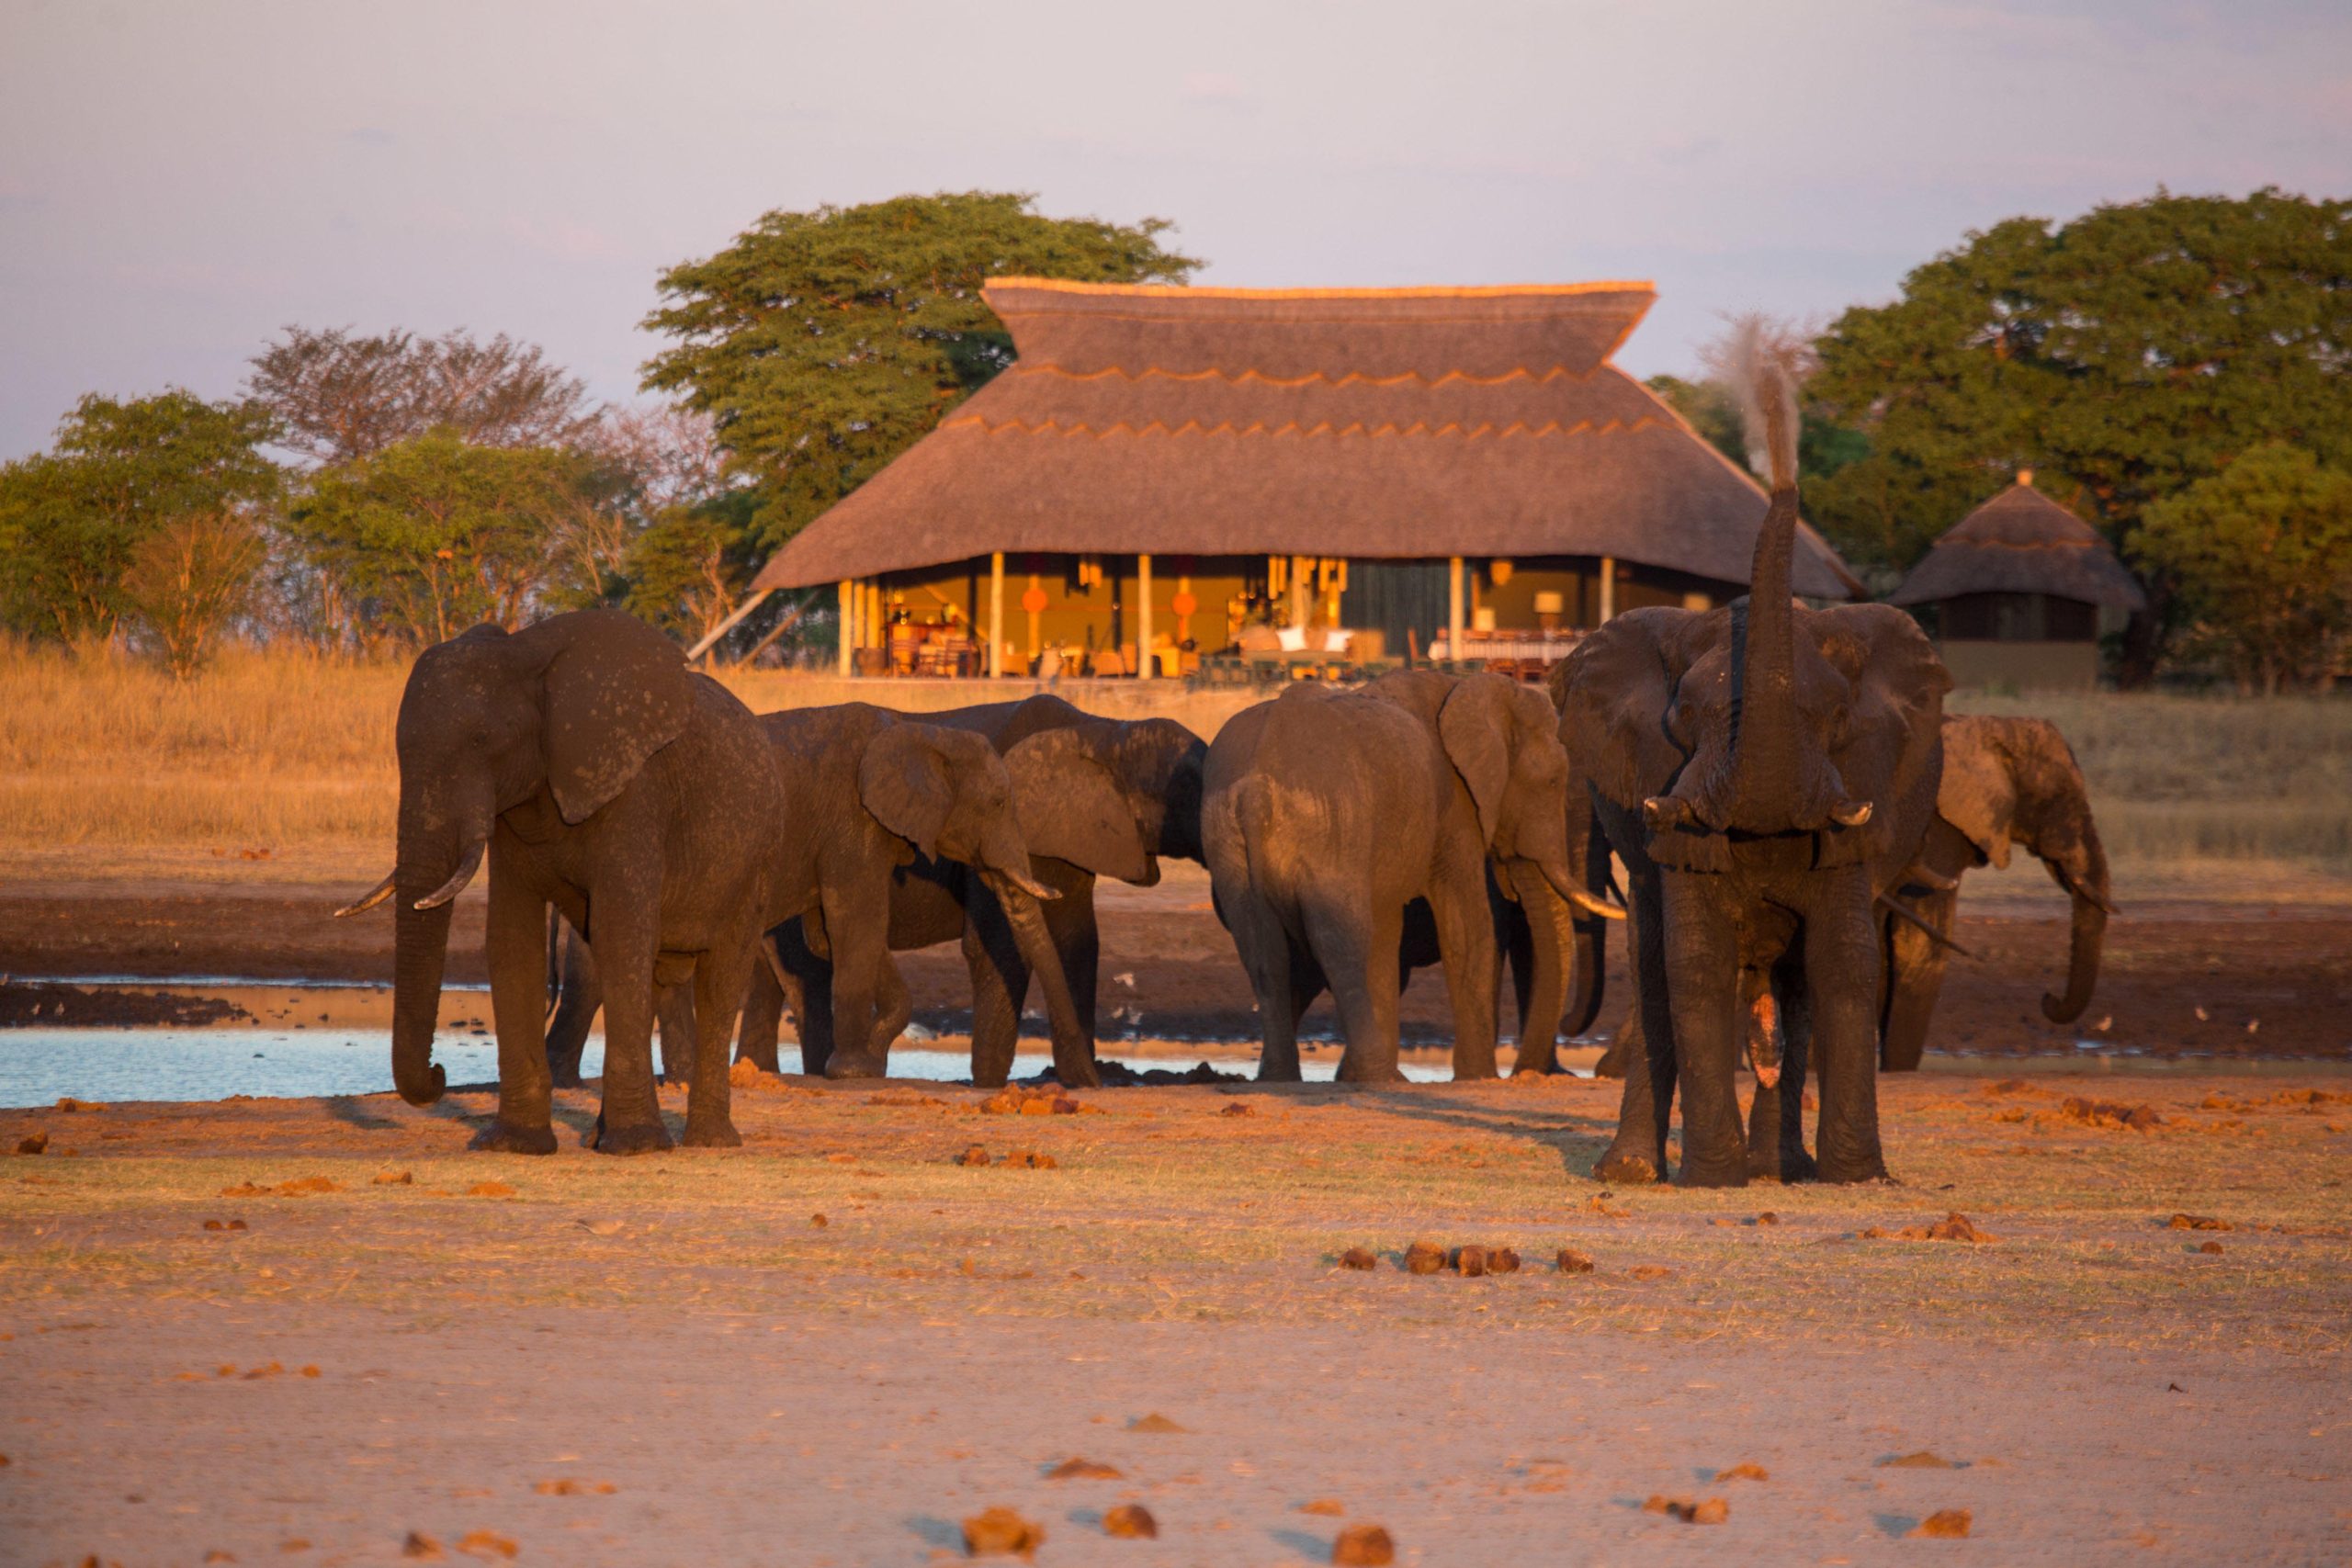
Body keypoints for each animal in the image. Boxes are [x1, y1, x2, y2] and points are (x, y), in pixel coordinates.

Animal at [334, 606, 780, 1161]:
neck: (528, 656)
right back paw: (599, 1138)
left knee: (719, 978)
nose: (439, 1073)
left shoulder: (635, 792)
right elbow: (511, 940)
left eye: (482, 740)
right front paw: (513, 1144)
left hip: (754, 862)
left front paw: (635, 1148)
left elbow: (619, 932)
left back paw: (706, 1142)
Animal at [550, 705, 1091, 1086]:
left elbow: (831, 936)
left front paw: (866, 1058)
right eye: (998, 803)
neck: (920, 729)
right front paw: (855, 1069)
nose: (1086, 1080)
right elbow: (858, 922)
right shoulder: (853, 821)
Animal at [742, 700, 1204, 1090]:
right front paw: (989, 1084)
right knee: (801, 972)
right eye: (1189, 790)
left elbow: (1078, 943)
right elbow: (999, 947)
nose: (1097, 1082)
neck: (1105, 731)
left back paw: (759, 1070)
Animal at [1561, 373, 1947, 1184]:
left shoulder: (1858, 796)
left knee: (1794, 989)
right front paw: (1714, 1177)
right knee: (1656, 973)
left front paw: (1860, 1177)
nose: (1781, 467)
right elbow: (1696, 966)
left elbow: (1844, 961)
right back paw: (1635, 1173)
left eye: (1835, 715)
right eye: (1689, 716)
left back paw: (1781, 1168)